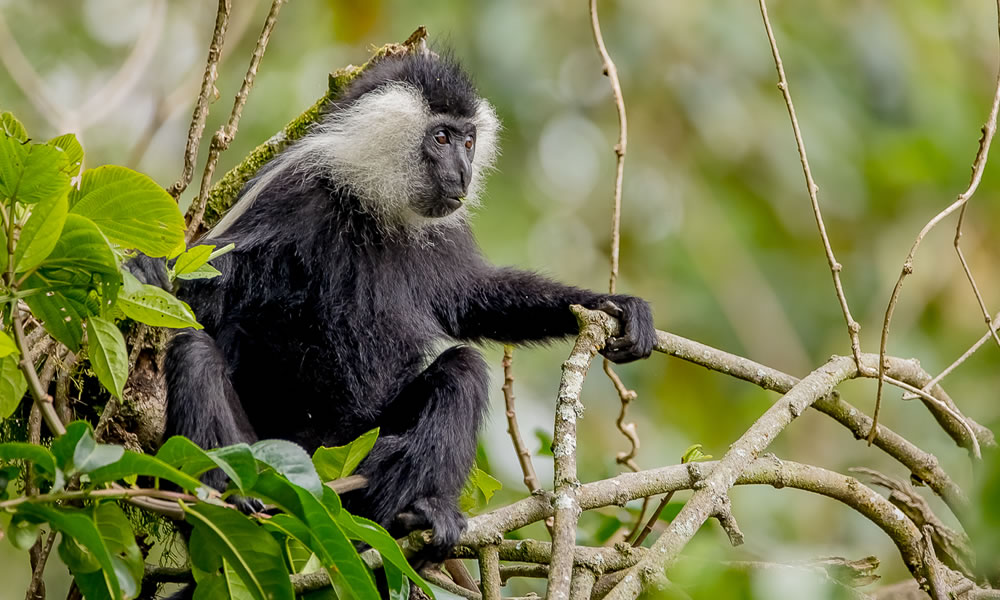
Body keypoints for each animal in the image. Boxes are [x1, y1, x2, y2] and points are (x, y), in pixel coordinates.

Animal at [154, 51, 656, 564]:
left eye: (469, 141)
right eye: (442, 138)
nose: (463, 172)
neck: (370, 201)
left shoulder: (442, 231)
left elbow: (475, 298)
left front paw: (618, 306)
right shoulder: (289, 198)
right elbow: (202, 285)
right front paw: (143, 268)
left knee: (463, 371)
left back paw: (418, 512)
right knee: (195, 354)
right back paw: (228, 496)